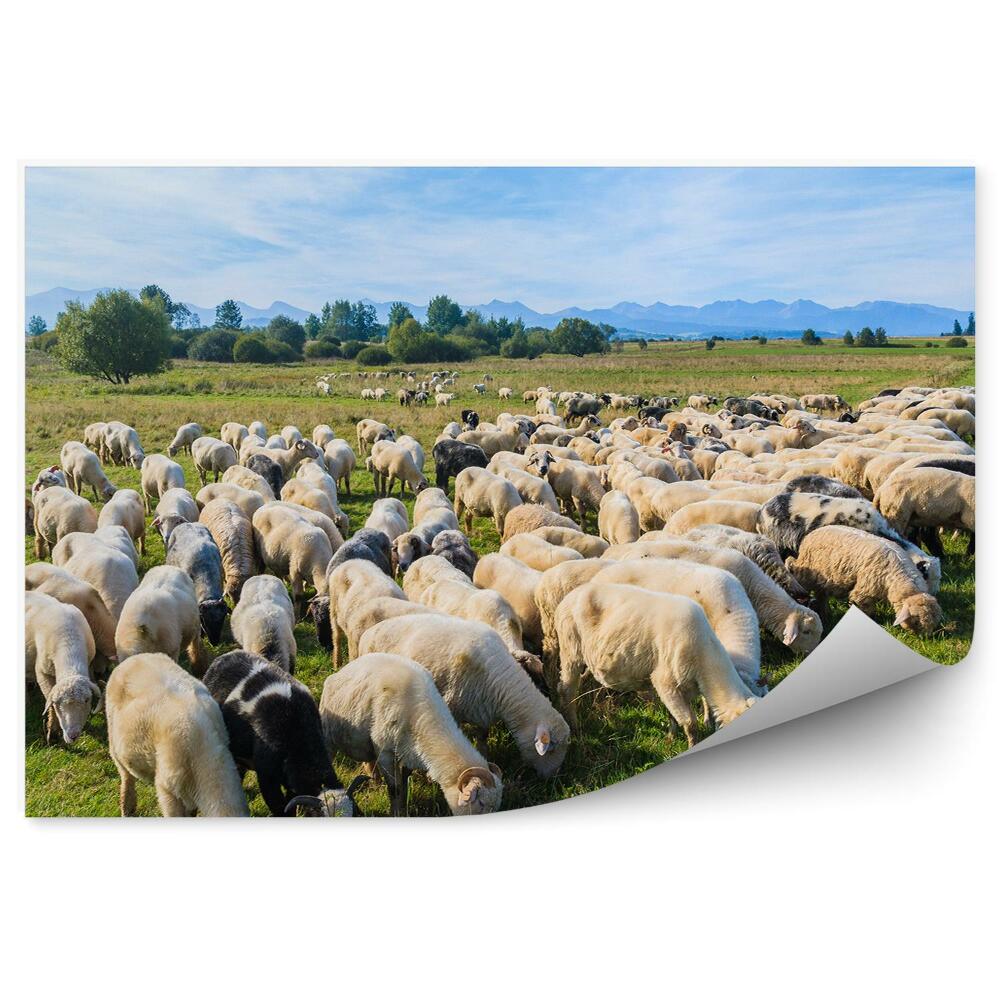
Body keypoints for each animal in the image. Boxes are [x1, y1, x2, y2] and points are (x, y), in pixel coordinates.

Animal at [320, 653, 502, 816]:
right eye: (481, 802)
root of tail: (344, 669)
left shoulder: (408, 753)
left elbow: (404, 784)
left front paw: (403, 809)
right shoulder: (385, 752)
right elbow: (395, 788)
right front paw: (396, 814)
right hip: (328, 736)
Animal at [358, 614, 569, 777]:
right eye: (551, 748)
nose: (552, 777)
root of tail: (367, 633)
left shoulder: (482, 710)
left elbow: (482, 737)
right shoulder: (452, 709)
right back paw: (373, 774)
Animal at [555, 583, 756, 744]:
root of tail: (568, 597)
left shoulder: (680, 687)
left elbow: (673, 716)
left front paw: (670, 738)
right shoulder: (664, 681)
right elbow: (690, 724)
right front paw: (690, 745)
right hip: (570, 649)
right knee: (567, 690)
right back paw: (575, 728)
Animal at [788, 526, 942, 635]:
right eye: (916, 621)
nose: (925, 638)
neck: (898, 573)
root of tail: (812, 533)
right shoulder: (864, 592)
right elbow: (865, 608)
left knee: (821, 593)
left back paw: (825, 612)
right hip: (807, 572)